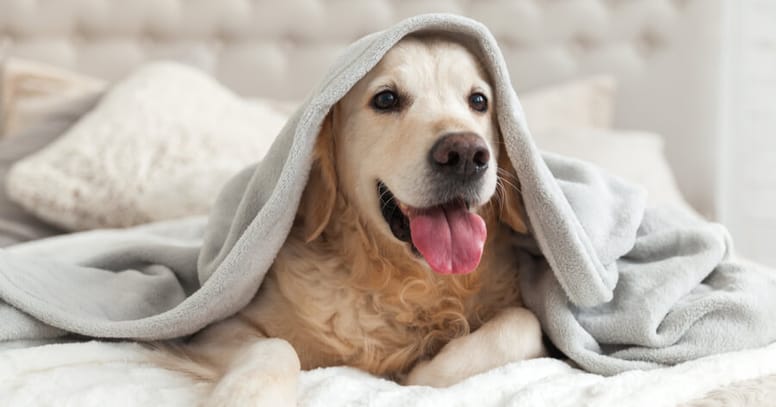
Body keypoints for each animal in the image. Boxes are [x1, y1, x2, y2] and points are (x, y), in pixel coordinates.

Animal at [158, 35, 544, 407]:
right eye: (386, 99)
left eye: (479, 101)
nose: (465, 154)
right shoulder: (213, 329)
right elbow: (274, 346)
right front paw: (246, 396)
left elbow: (525, 323)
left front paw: (424, 370)